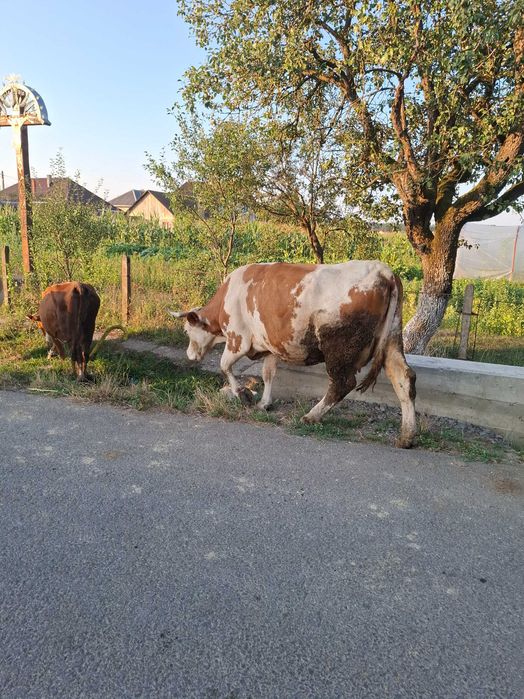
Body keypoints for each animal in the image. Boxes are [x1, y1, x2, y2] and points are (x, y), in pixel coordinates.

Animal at [170, 261, 417, 448]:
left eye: (187, 331)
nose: (189, 355)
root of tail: (383, 271)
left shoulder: (238, 340)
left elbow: (224, 366)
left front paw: (243, 394)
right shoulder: (269, 346)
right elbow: (268, 374)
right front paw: (264, 403)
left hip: (339, 347)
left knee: (342, 383)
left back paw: (311, 416)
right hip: (393, 339)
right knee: (403, 377)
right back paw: (407, 435)